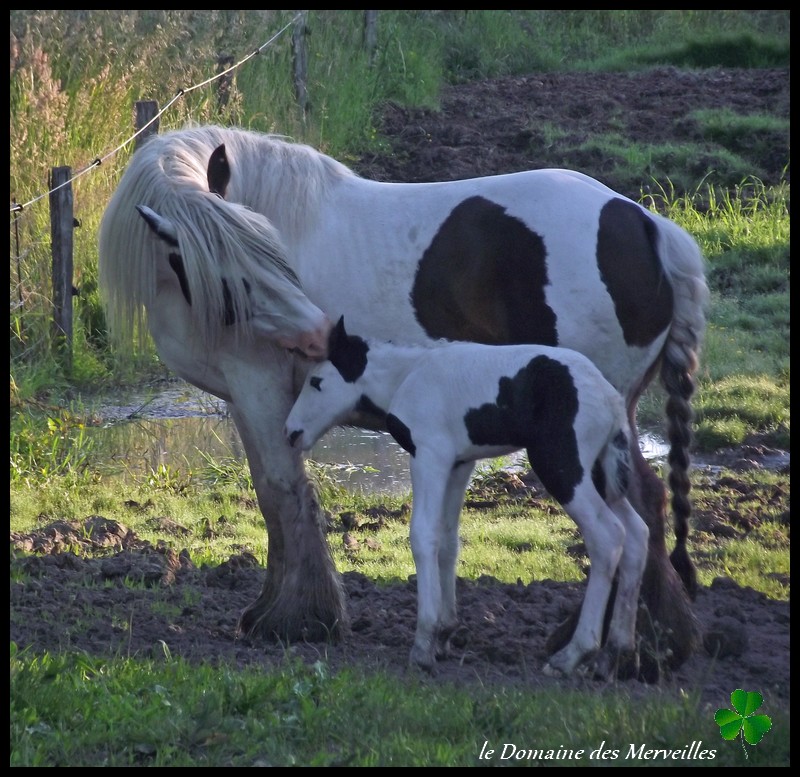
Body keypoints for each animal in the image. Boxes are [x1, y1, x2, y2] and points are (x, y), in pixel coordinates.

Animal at [288, 318, 648, 676]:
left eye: (316, 382)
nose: (291, 432)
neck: (407, 375)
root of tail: (612, 399)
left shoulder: (429, 456)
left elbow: (423, 535)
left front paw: (424, 643)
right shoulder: (460, 464)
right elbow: (448, 540)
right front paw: (445, 633)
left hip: (561, 466)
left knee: (608, 536)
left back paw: (574, 654)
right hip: (602, 475)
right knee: (637, 535)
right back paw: (616, 652)